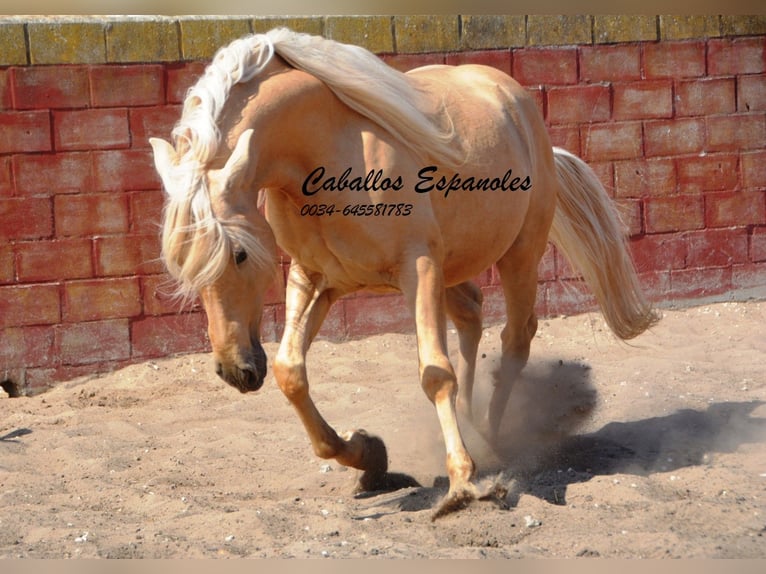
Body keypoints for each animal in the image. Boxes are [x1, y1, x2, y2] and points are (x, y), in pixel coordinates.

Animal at [152, 29, 660, 520]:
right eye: (180, 266)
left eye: (239, 254)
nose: (235, 371)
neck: (327, 147)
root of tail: (514, 99)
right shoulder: (316, 277)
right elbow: (289, 371)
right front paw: (368, 456)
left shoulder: (418, 267)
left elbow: (435, 372)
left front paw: (461, 486)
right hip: (455, 268)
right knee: (472, 318)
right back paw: (472, 426)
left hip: (519, 254)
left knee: (515, 339)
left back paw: (493, 443)